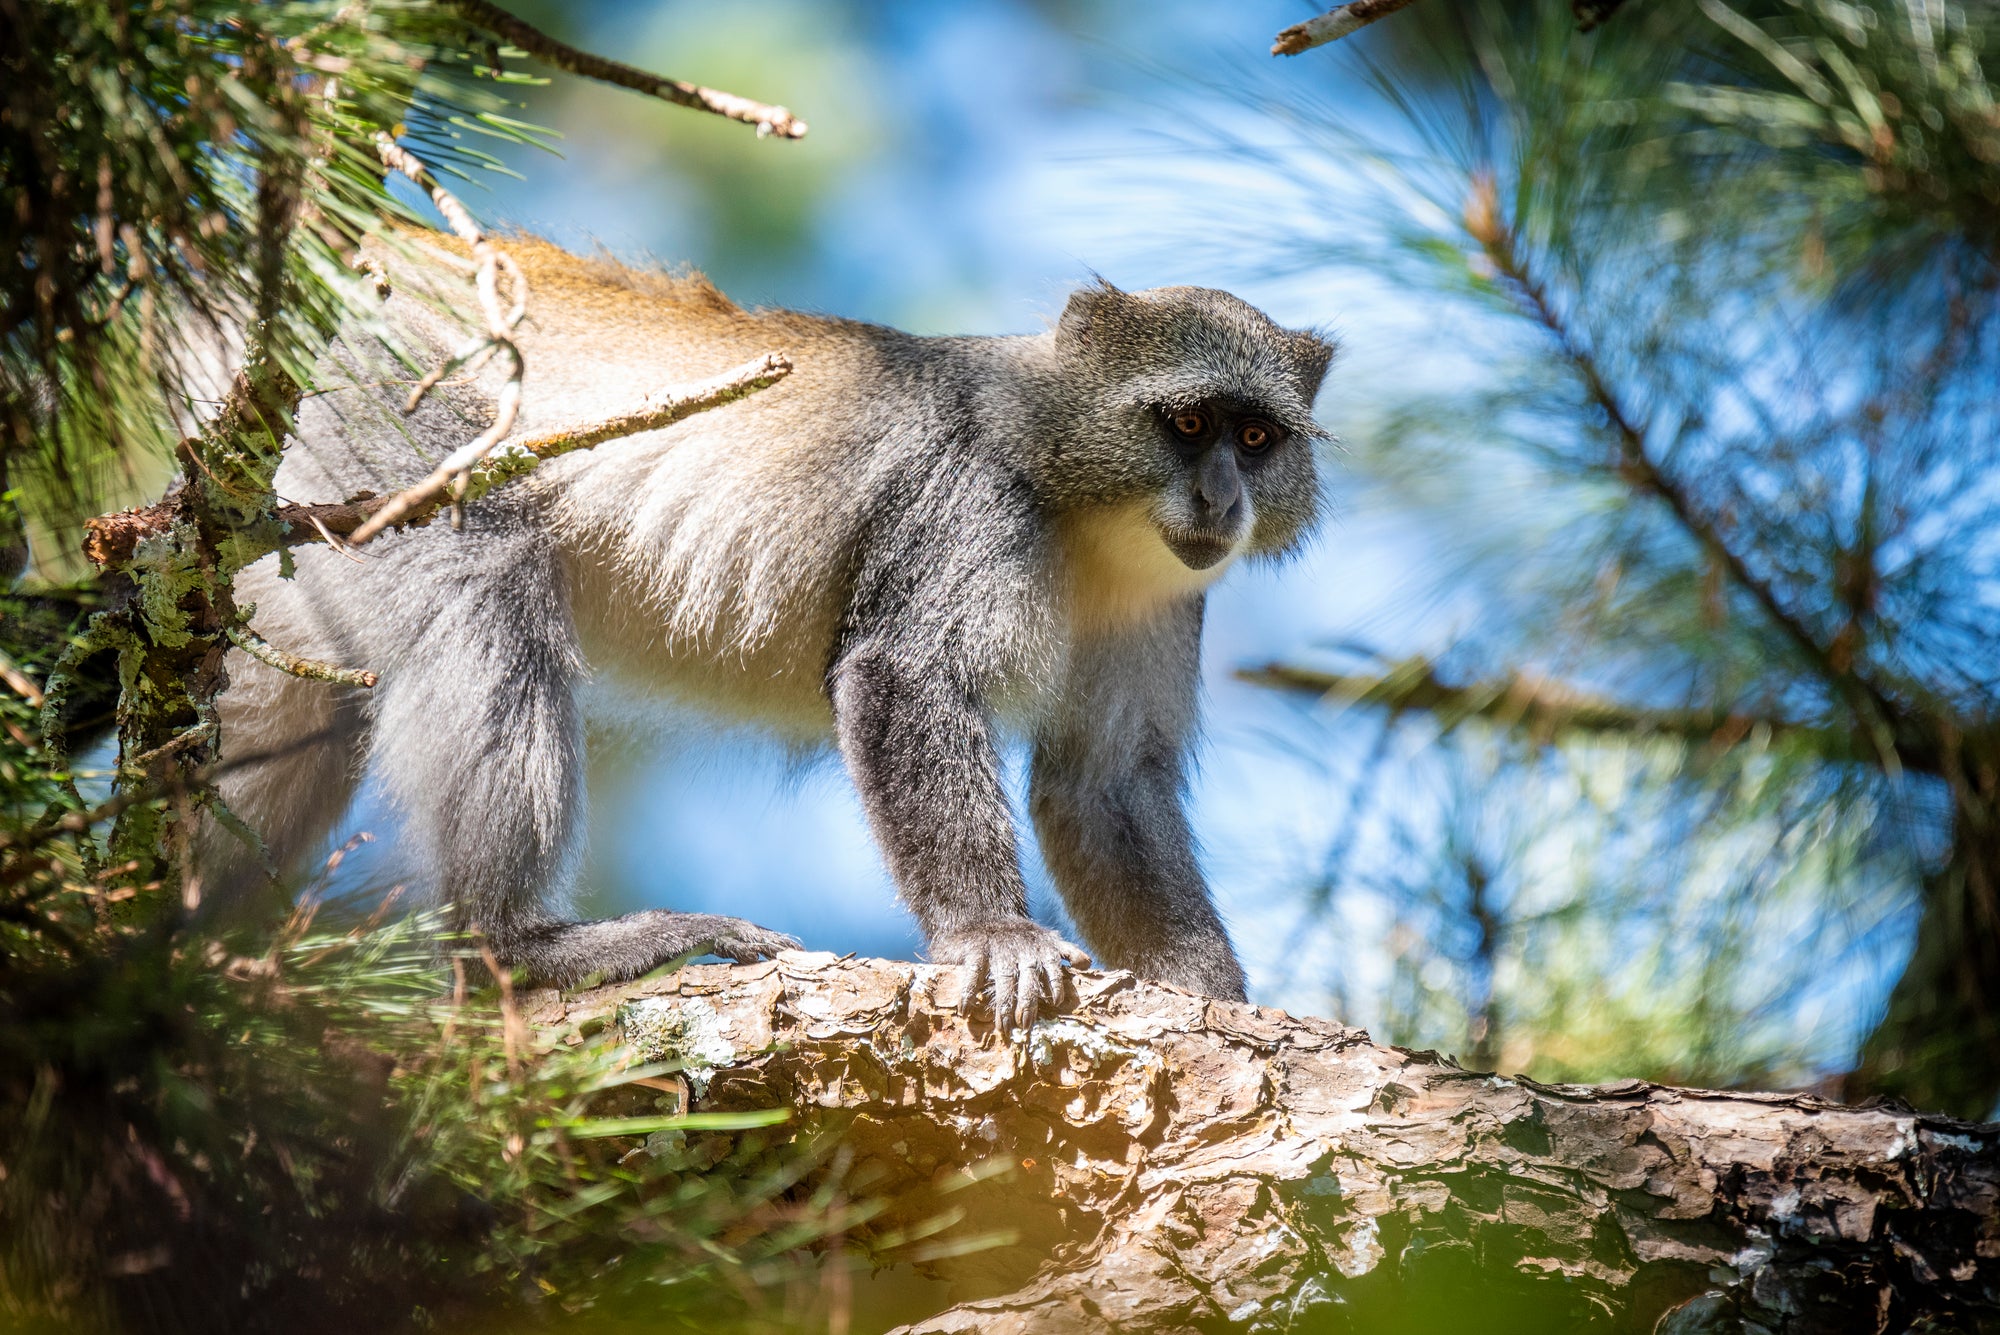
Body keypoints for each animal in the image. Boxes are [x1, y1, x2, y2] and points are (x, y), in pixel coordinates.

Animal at [206, 233, 1335, 1028]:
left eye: (1255, 436)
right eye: (1185, 423)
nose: (1220, 500)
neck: (1079, 500)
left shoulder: (1167, 598)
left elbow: (1102, 784)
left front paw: (1214, 997)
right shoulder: (968, 499)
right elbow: (901, 676)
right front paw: (991, 935)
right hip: (376, 426)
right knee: (486, 586)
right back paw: (516, 948)